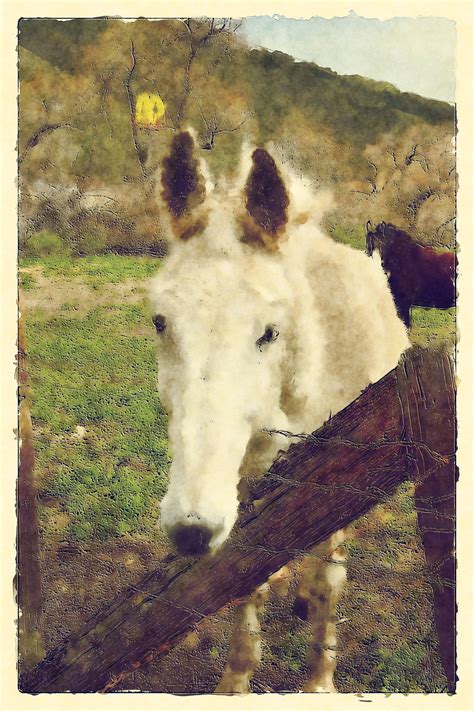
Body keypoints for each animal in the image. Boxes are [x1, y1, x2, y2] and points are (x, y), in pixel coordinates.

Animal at [150, 130, 409, 693]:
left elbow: (329, 577)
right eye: (160, 321)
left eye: (269, 332)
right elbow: (249, 573)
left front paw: (319, 681)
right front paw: (235, 680)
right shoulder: (246, 477)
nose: (192, 530)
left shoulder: (341, 478)